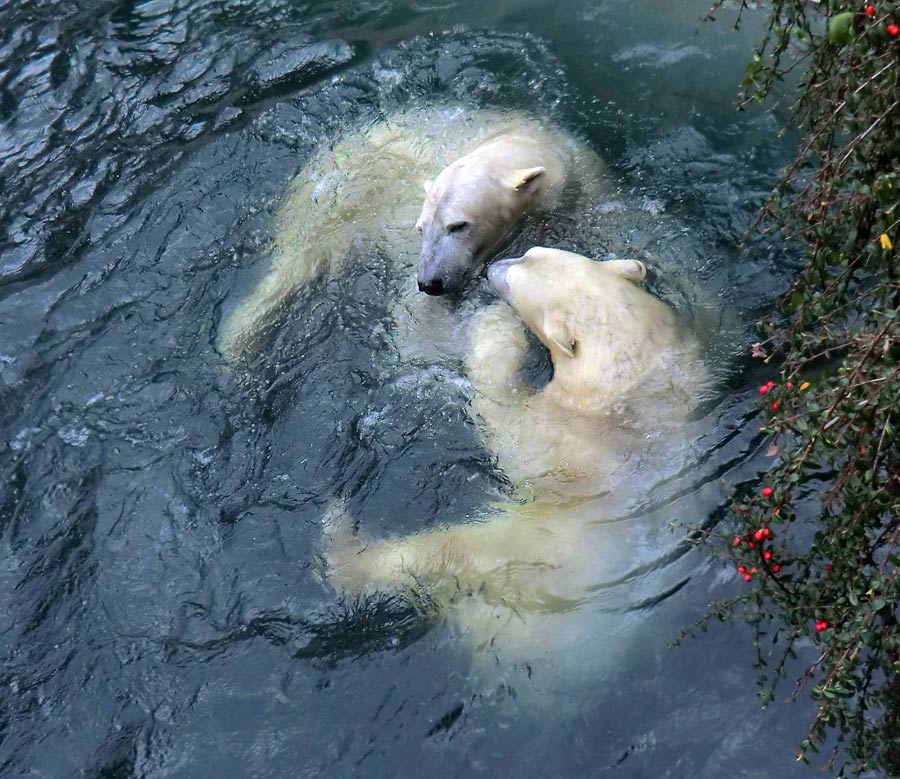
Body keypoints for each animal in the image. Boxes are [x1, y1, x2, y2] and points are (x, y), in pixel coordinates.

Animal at [217, 105, 608, 364]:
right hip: (327, 205)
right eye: (421, 228)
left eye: (458, 225)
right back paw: (239, 341)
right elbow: (418, 322)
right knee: (296, 264)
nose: (430, 282)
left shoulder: (584, 185)